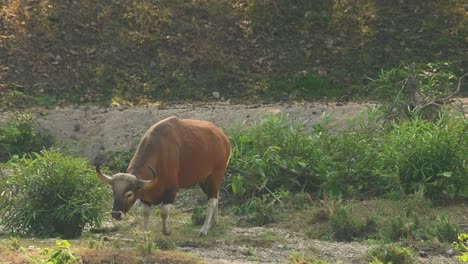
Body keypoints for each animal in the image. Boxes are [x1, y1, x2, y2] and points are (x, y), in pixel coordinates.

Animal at [96, 116, 231, 236]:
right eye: (114, 192)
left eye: (129, 194)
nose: (116, 214)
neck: (159, 154)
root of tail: (223, 138)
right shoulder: (145, 196)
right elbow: (146, 213)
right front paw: (144, 234)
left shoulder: (172, 191)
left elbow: (164, 212)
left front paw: (166, 231)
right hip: (204, 178)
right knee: (216, 196)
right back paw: (214, 223)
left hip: (217, 174)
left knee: (211, 201)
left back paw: (204, 229)